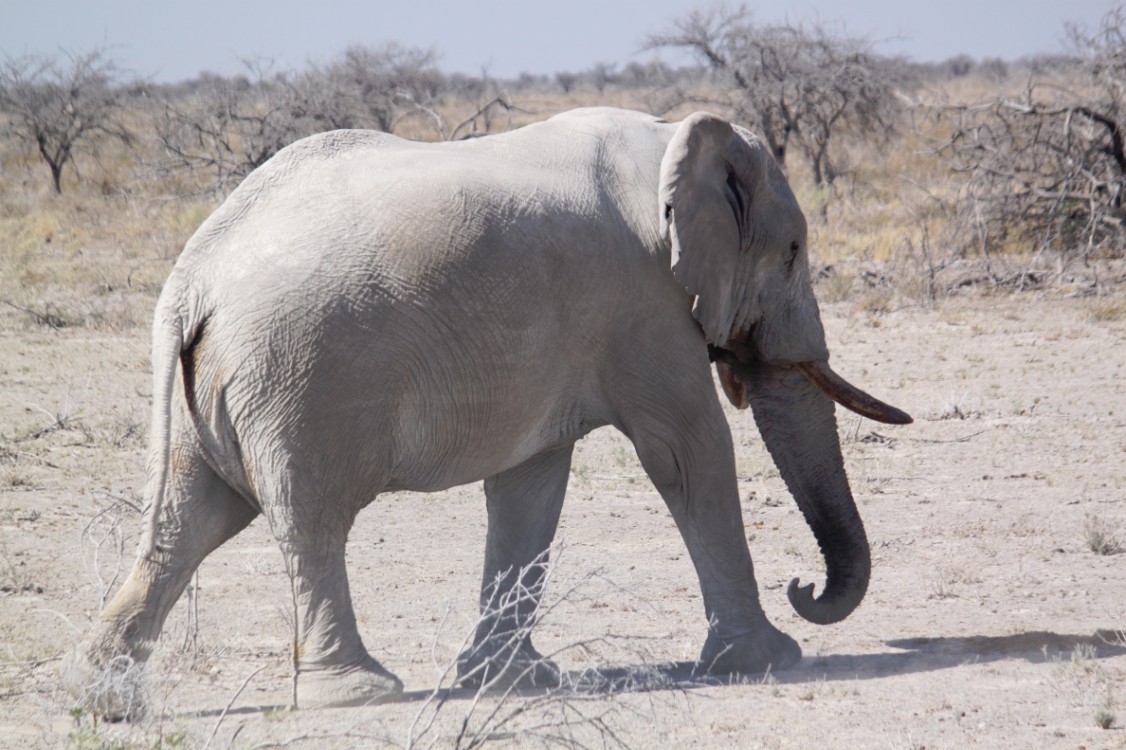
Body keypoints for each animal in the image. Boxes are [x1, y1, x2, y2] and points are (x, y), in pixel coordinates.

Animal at [61, 108, 909, 716]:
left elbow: (531, 483)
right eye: (793, 253)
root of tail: (192, 279)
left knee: (188, 523)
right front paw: (766, 662)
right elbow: (687, 452)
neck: (669, 138)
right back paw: (359, 693)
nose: (806, 588)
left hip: (214, 389)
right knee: (309, 519)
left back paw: (104, 703)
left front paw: (511, 680)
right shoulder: (642, 304)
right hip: (293, 379)